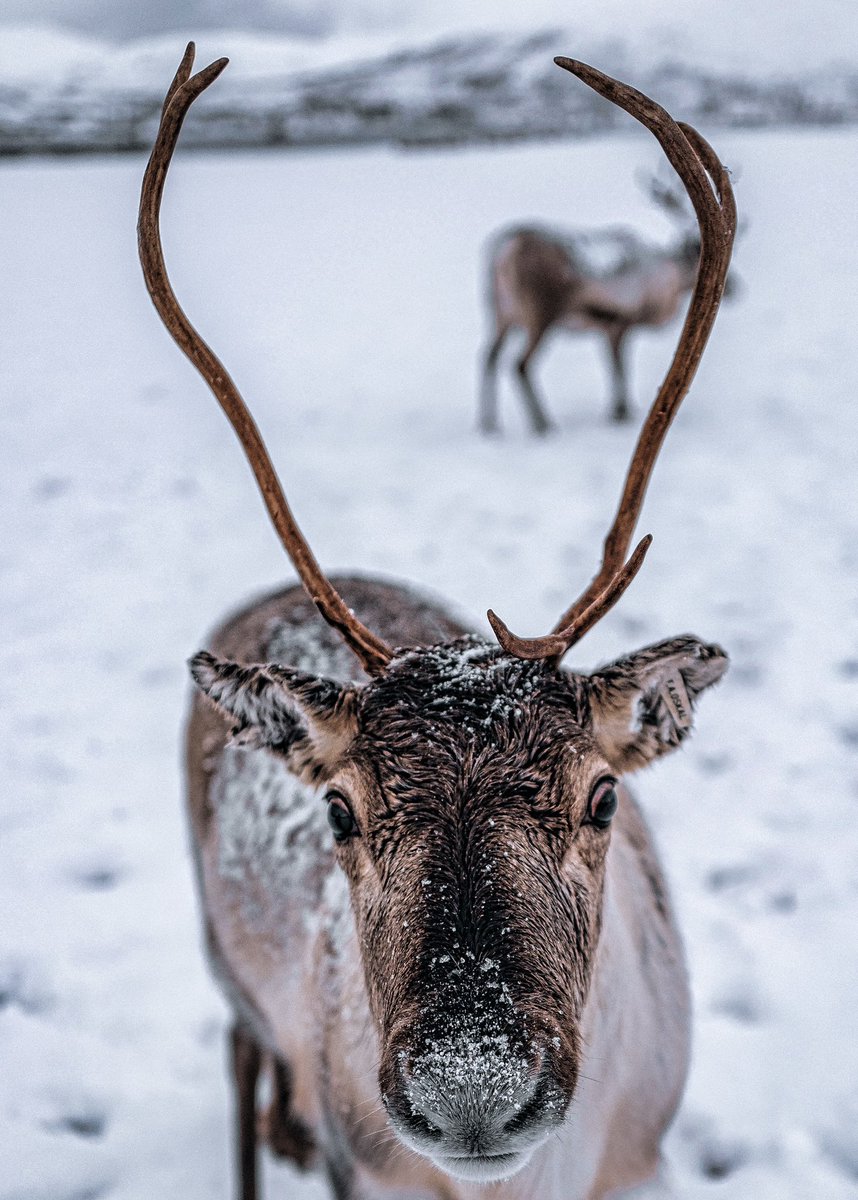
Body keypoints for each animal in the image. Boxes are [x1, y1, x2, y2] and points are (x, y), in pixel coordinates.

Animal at [480, 172, 727, 434]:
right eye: (696, 256)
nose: (735, 286)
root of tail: (506, 248)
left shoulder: (607, 328)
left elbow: (613, 368)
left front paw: (618, 412)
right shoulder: (620, 324)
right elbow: (620, 369)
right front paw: (621, 413)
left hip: (500, 314)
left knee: (489, 357)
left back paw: (489, 423)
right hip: (541, 315)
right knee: (520, 364)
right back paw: (543, 424)